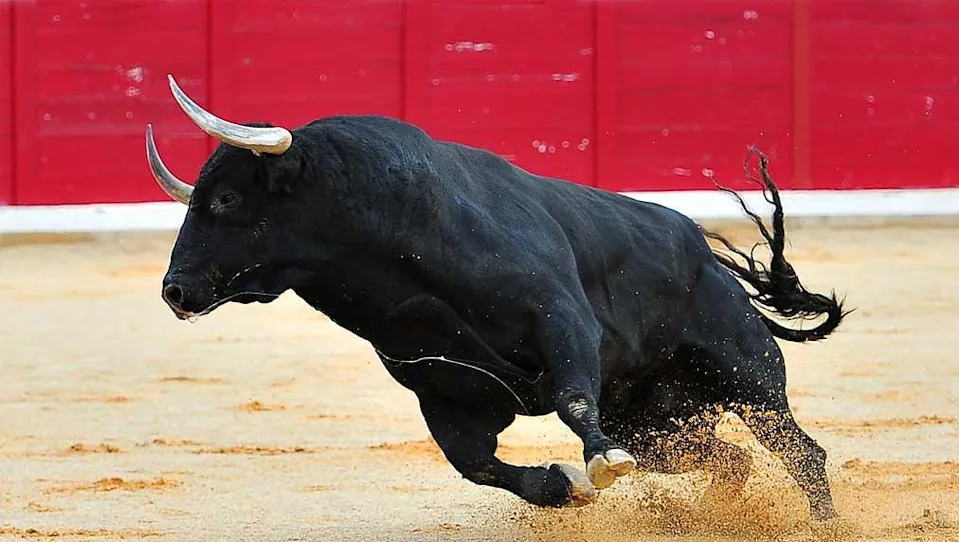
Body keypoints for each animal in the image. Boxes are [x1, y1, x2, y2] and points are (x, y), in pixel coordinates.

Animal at [158, 116, 848, 524]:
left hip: (747, 376)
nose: (175, 290)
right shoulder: (440, 390)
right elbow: (477, 464)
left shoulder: (561, 319)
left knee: (800, 451)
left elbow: (572, 400)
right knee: (729, 461)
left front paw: (598, 462)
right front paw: (564, 486)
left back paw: (823, 523)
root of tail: (705, 253)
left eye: (226, 198)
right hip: (655, 424)